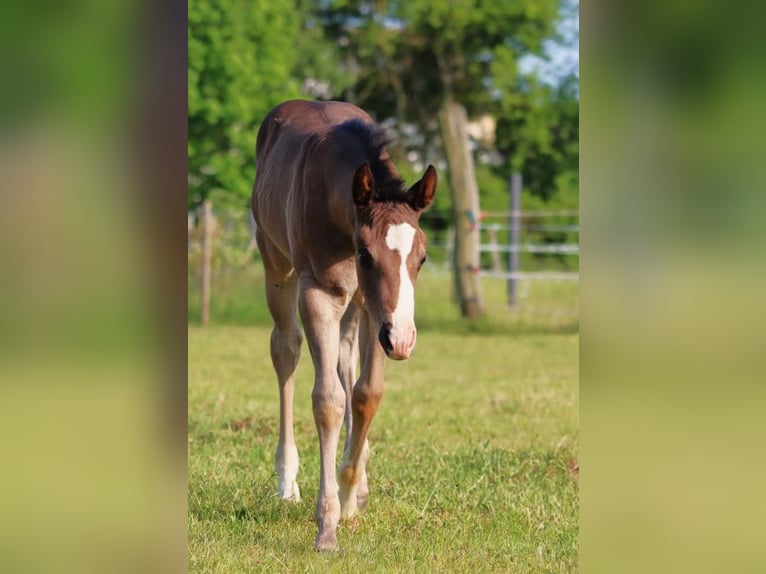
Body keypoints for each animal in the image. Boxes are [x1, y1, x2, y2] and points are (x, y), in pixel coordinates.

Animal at [254, 100, 438, 552]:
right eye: (366, 254)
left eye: (422, 257)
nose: (404, 339)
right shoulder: (318, 295)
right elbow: (328, 401)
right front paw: (327, 525)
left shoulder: (375, 311)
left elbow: (366, 393)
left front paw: (351, 495)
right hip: (276, 265)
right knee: (286, 349)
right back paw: (287, 484)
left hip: (357, 309)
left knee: (345, 362)